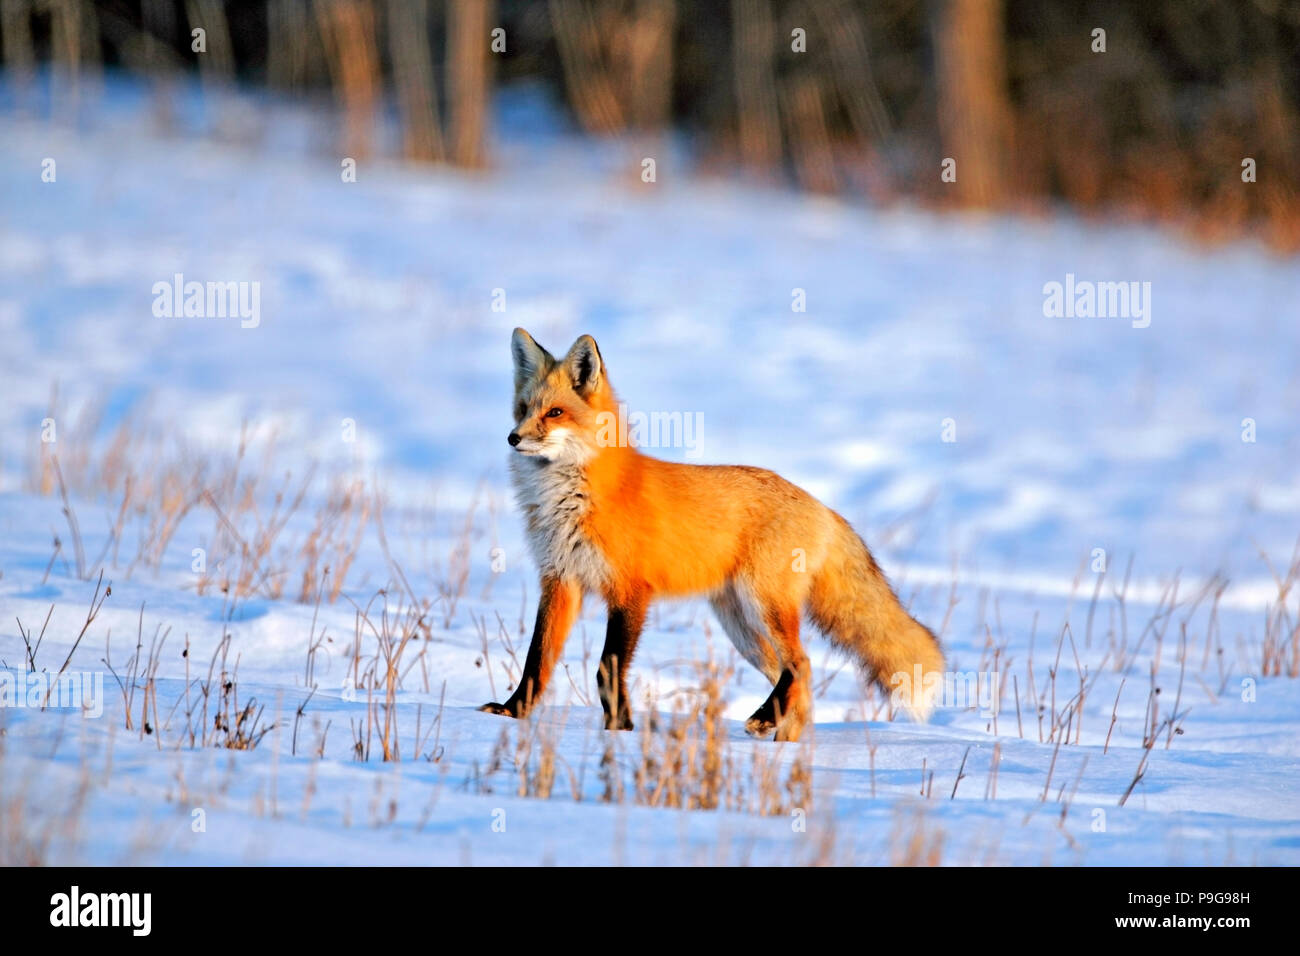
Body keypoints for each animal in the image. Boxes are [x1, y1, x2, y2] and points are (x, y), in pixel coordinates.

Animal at [479, 328, 945, 741]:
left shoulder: (630, 592)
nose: (513, 438)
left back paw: (767, 724)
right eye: (523, 408)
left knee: (802, 663)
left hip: (764, 606)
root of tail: (821, 506)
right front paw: (513, 713)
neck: (572, 498)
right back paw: (785, 746)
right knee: (795, 676)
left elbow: (607, 667)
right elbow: (536, 659)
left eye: (555, 413)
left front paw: (619, 731)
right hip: (740, 626)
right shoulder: (561, 580)